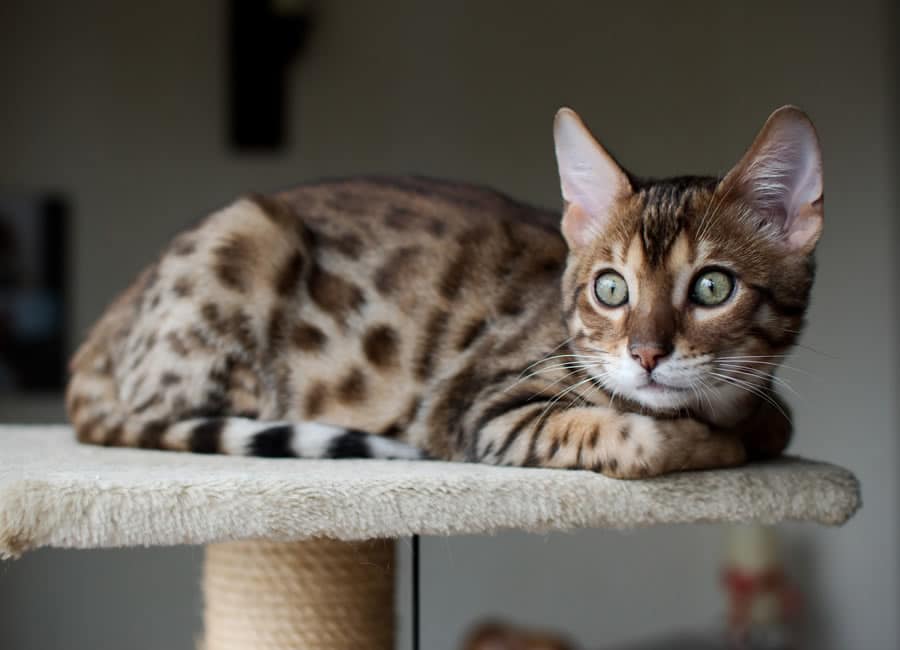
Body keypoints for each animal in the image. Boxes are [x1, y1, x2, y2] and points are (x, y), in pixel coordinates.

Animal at [65, 106, 824, 476]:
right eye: (611, 289)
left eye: (713, 286)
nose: (646, 355)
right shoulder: (482, 408)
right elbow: (643, 439)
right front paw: (715, 444)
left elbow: (778, 419)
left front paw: (748, 429)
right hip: (245, 236)